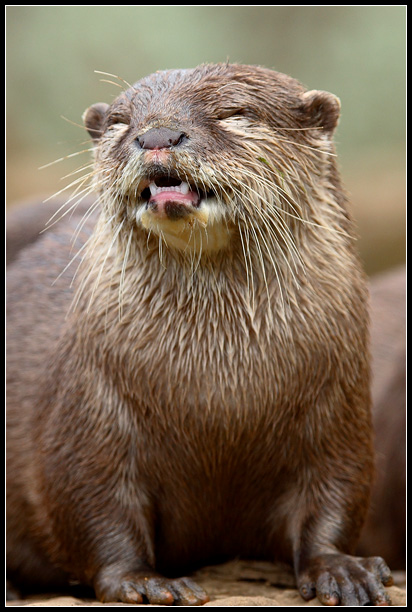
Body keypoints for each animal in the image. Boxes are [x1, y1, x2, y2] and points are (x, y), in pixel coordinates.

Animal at [5, 62, 392, 604]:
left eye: (234, 112)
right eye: (121, 122)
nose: (157, 135)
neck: (219, 392)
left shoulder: (339, 407)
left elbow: (335, 493)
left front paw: (341, 569)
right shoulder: (89, 404)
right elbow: (93, 505)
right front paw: (142, 580)